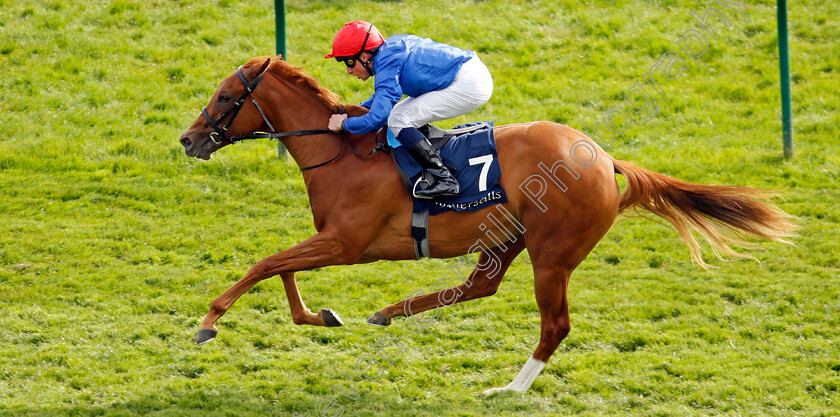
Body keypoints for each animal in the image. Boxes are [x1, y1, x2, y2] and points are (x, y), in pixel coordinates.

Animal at [177, 56, 796, 394]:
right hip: (508, 238)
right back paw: (390, 311)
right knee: (482, 285)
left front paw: (208, 322)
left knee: (554, 325)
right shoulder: (331, 239)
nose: (188, 139)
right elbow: (280, 269)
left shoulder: (345, 242)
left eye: (226, 97)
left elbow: (265, 264)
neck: (341, 151)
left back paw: (510, 388)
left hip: (552, 255)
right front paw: (320, 315)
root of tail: (604, 157)